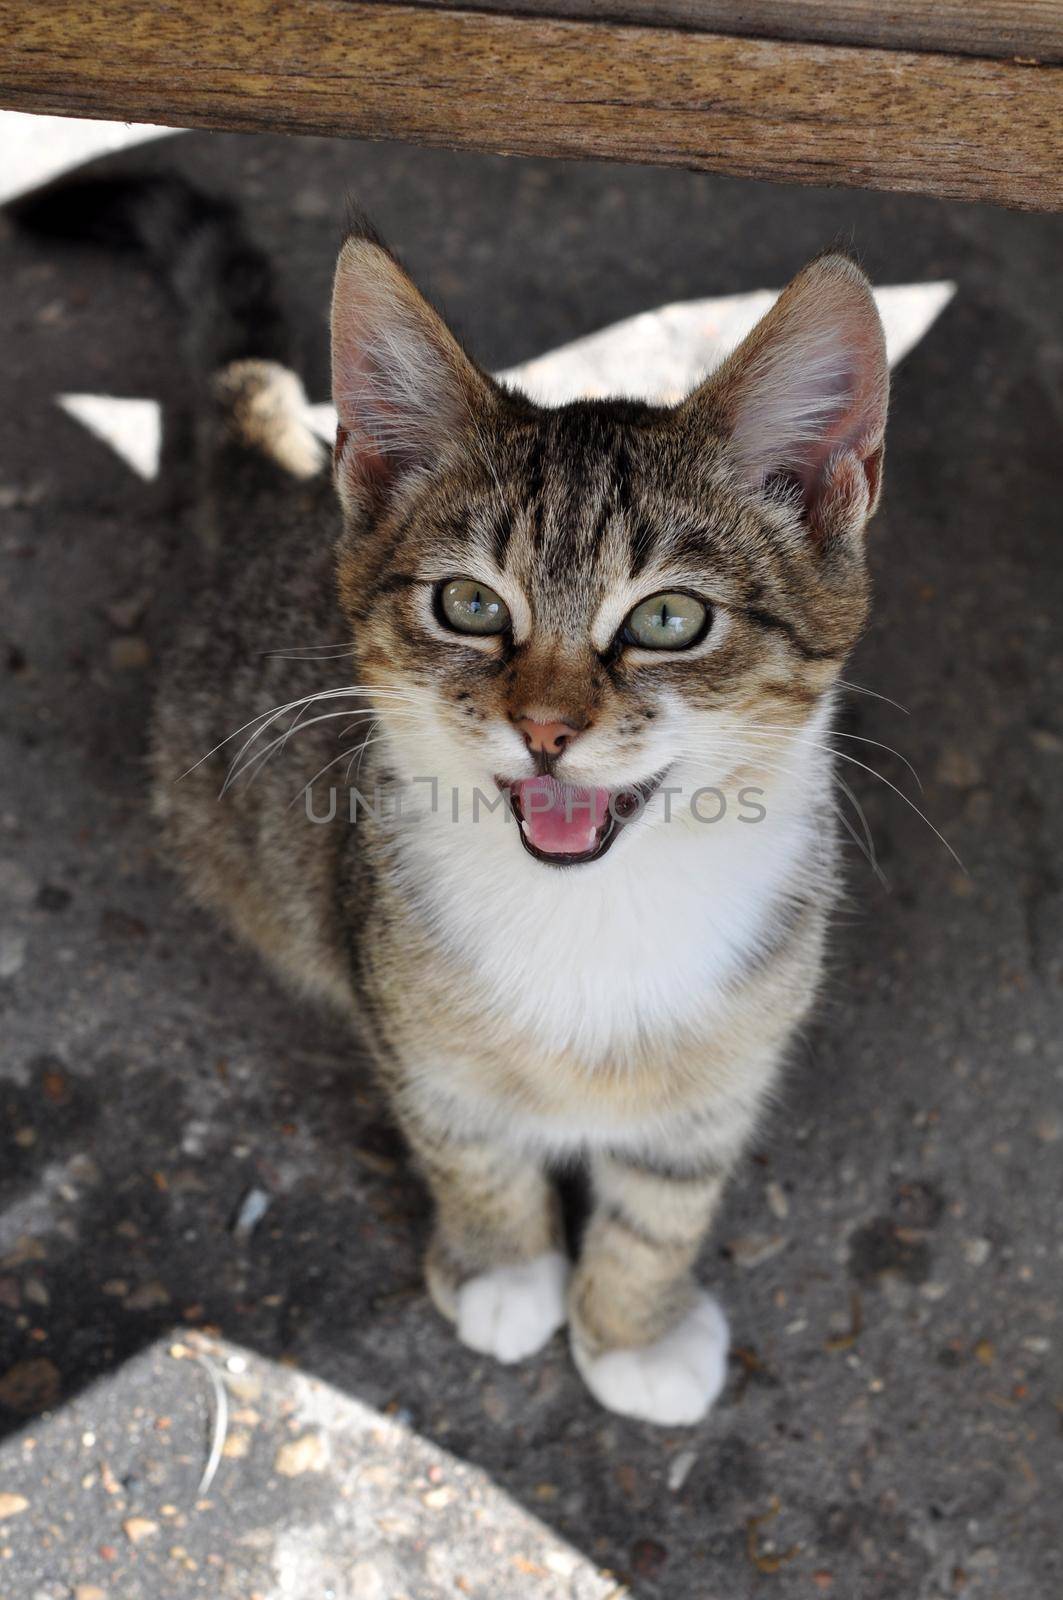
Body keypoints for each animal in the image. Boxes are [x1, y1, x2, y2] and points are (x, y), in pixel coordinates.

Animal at [22, 175, 890, 1427]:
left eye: (669, 618)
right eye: (470, 604)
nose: (547, 728)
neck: (598, 913)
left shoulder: (736, 1052)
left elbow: (669, 1194)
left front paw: (631, 1323)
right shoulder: (397, 1000)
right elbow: (465, 1141)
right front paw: (504, 1266)